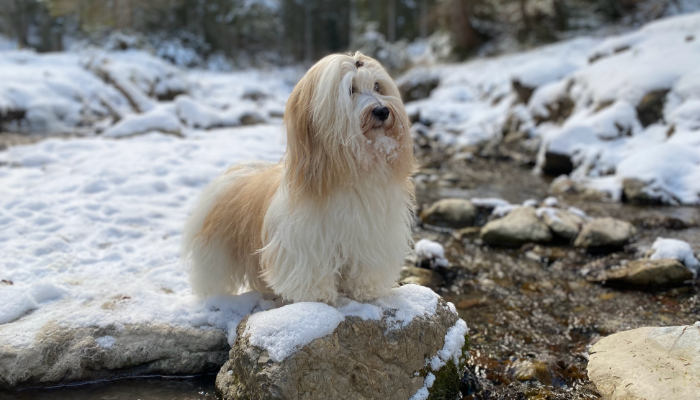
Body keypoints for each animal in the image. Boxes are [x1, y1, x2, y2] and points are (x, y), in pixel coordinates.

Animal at [183, 51, 416, 304]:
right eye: (351, 89)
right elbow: (312, 269)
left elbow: (366, 267)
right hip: (216, 255)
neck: (351, 172)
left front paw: (366, 290)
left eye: (378, 86)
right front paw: (317, 296)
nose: (382, 111)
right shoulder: (305, 241)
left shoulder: (372, 236)